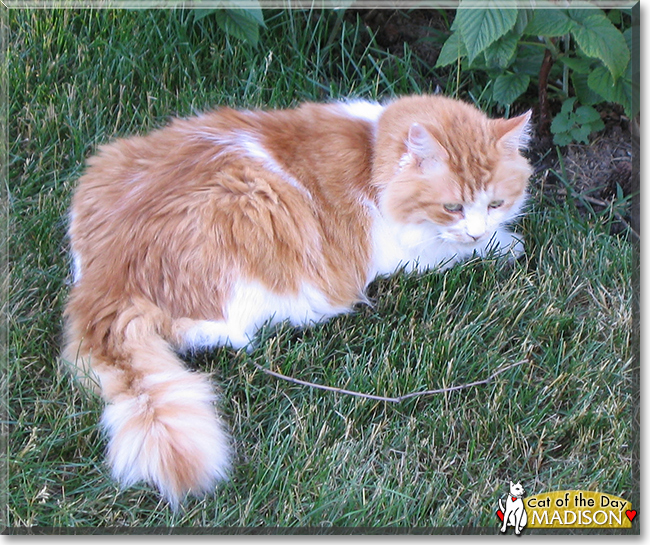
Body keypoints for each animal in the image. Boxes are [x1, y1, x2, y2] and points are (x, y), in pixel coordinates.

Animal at [63, 91, 532, 504]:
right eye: (452, 207)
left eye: (495, 202)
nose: (477, 230)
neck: (372, 153)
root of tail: (107, 278)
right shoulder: (405, 255)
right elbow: (456, 251)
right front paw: (505, 245)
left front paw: (497, 237)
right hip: (252, 220)